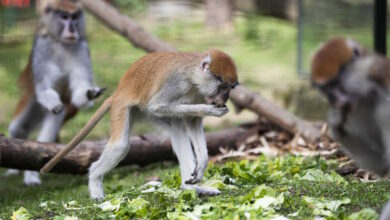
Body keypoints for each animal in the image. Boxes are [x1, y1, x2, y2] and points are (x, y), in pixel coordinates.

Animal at [3, 0, 104, 186]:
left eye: (74, 16)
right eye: (64, 17)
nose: (72, 29)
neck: (61, 43)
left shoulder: (81, 47)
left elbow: (79, 91)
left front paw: (89, 93)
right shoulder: (42, 49)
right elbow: (44, 90)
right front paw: (52, 102)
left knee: (43, 138)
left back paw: (32, 172)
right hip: (30, 100)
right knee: (18, 128)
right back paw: (14, 169)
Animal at [41, 49, 239, 200]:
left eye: (230, 88)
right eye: (222, 87)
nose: (224, 98)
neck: (193, 76)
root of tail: (119, 91)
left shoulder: (198, 93)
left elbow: (192, 121)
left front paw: (202, 163)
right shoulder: (176, 83)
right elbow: (157, 106)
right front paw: (212, 110)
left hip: (141, 112)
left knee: (176, 127)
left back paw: (190, 188)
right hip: (122, 108)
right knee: (120, 146)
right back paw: (95, 182)